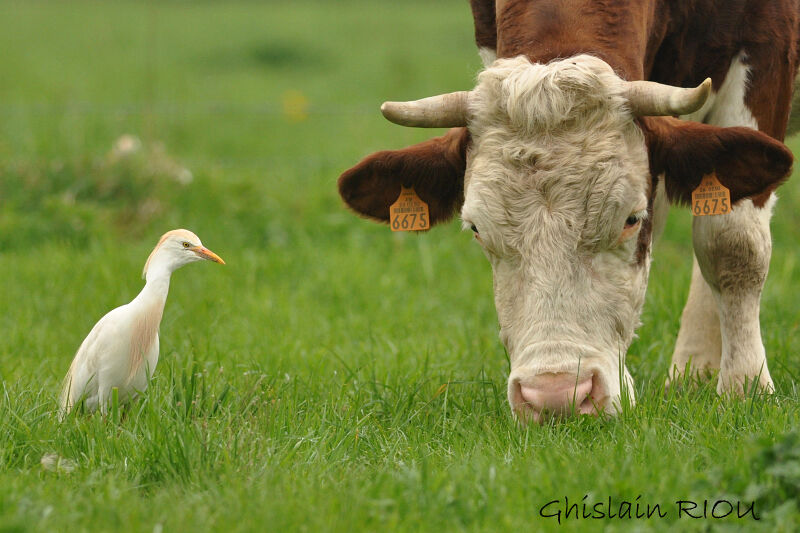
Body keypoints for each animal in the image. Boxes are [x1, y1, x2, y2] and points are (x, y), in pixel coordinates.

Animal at [338, 1, 800, 424]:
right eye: (476, 228)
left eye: (630, 219)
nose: (556, 397)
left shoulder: (764, 47)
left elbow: (732, 241)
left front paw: (745, 387)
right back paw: (693, 370)